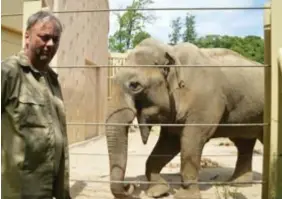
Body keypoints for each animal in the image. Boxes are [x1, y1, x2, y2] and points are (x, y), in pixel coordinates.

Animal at [104, 37, 264, 199]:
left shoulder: (205, 102)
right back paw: (238, 183)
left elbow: (191, 139)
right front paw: (158, 191)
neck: (172, 52)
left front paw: (185, 195)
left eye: (135, 85)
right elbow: (169, 142)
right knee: (244, 143)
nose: (129, 186)